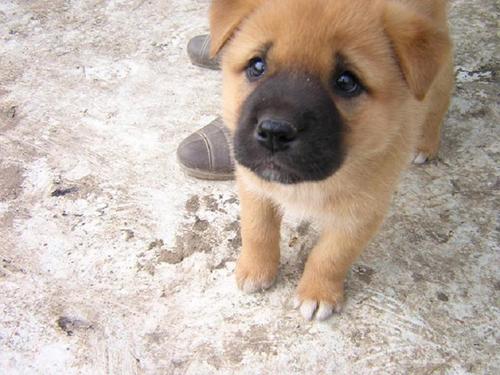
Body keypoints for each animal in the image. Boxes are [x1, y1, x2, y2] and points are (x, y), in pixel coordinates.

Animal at [207, 0, 454, 322]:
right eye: (257, 66)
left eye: (347, 82)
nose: (274, 132)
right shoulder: (253, 182)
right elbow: (257, 229)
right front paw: (255, 270)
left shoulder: (362, 211)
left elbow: (331, 256)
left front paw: (318, 293)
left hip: (436, 79)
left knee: (439, 99)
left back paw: (425, 143)